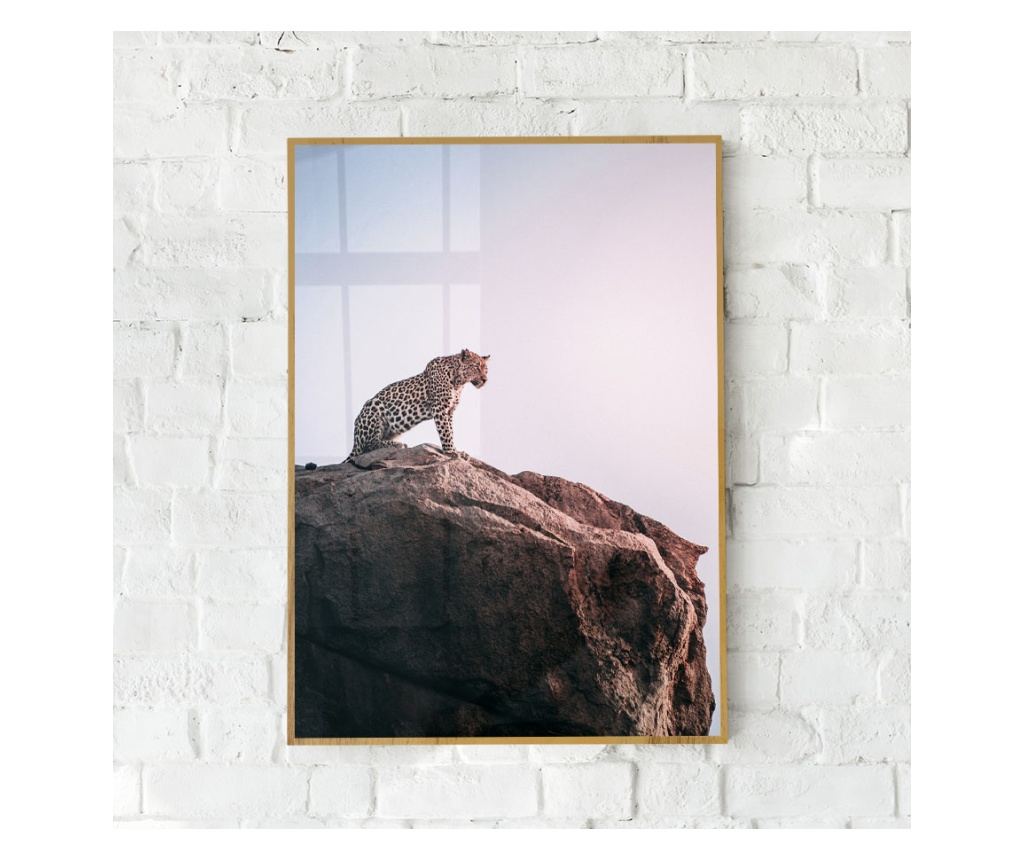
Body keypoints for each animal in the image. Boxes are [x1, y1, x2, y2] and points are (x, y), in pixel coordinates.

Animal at [345, 349, 490, 462]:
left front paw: (456, 450)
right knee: (369, 445)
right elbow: (446, 432)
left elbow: (451, 431)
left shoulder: (449, 411)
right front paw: (451, 452)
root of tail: (355, 439)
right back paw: (397, 444)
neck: (458, 382)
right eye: (476, 367)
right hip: (374, 406)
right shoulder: (440, 408)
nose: (485, 380)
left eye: (486, 370)